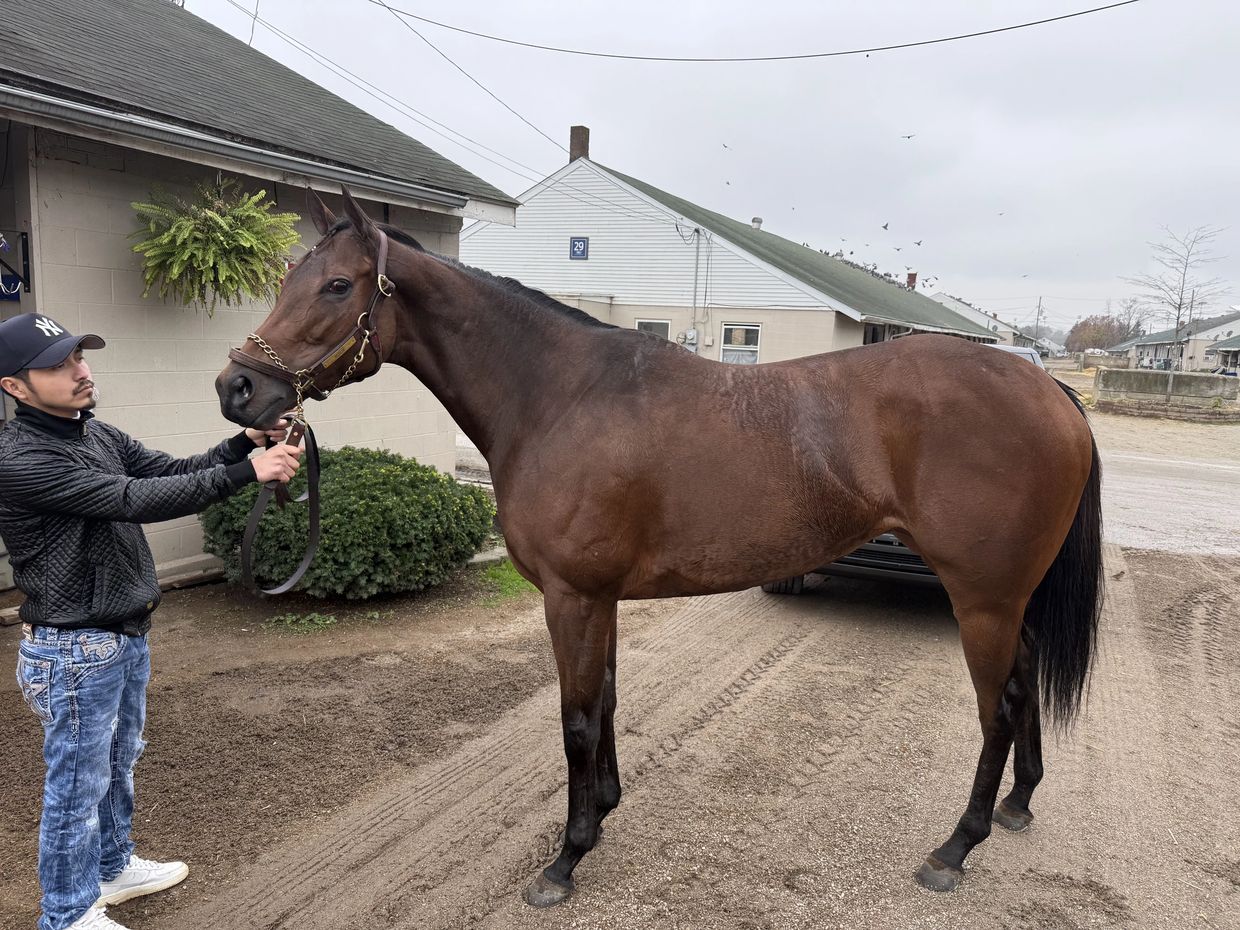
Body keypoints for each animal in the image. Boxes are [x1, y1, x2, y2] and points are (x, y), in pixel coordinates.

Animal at [216, 188, 1102, 907]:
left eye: (337, 286)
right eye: (286, 277)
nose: (238, 389)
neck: (558, 395)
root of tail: (1051, 391)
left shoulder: (571, 596)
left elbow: (576, 718)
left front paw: (565, 860)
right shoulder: (598, 597)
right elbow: (605, 700)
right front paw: (603, 812)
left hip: (981, 599)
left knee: (1000, 707)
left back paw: (955, 848)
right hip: (1007, 598)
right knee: (1023, 683)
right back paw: (1018, 803)